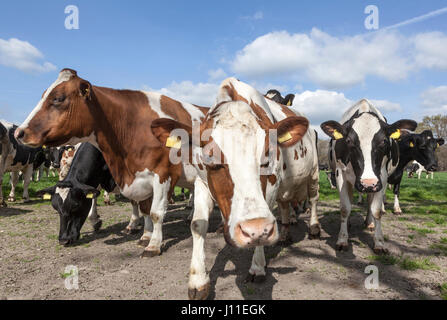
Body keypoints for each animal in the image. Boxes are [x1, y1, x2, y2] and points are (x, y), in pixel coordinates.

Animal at [14, 68, 208, 258]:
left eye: (58, 98)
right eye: (55, 207)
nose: (19, 132)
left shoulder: (163, 174)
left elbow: (156, 212)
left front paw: (153, 245)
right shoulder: (138, 178)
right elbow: (143, 208)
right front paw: (145, 235)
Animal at [150, 78, 318, 300]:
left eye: (267, 156)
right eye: (210, 158)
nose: (252, 229)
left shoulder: (272, 184)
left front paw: (257, 267)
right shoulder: (202, 182)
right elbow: (198, 225)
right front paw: (198, 281)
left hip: (314, 172)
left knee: (313, 198)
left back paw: (314, 228)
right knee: (284, 204)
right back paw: (284, 235)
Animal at [320, 99, 418, 254]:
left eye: (384, 141)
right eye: (348, 141)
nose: (368, 183)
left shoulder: (381, 178)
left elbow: (376, 210)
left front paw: (379, 242)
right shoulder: (340, 175)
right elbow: (345, 208)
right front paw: (342, 240)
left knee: (370, 200)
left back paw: (370, 223)